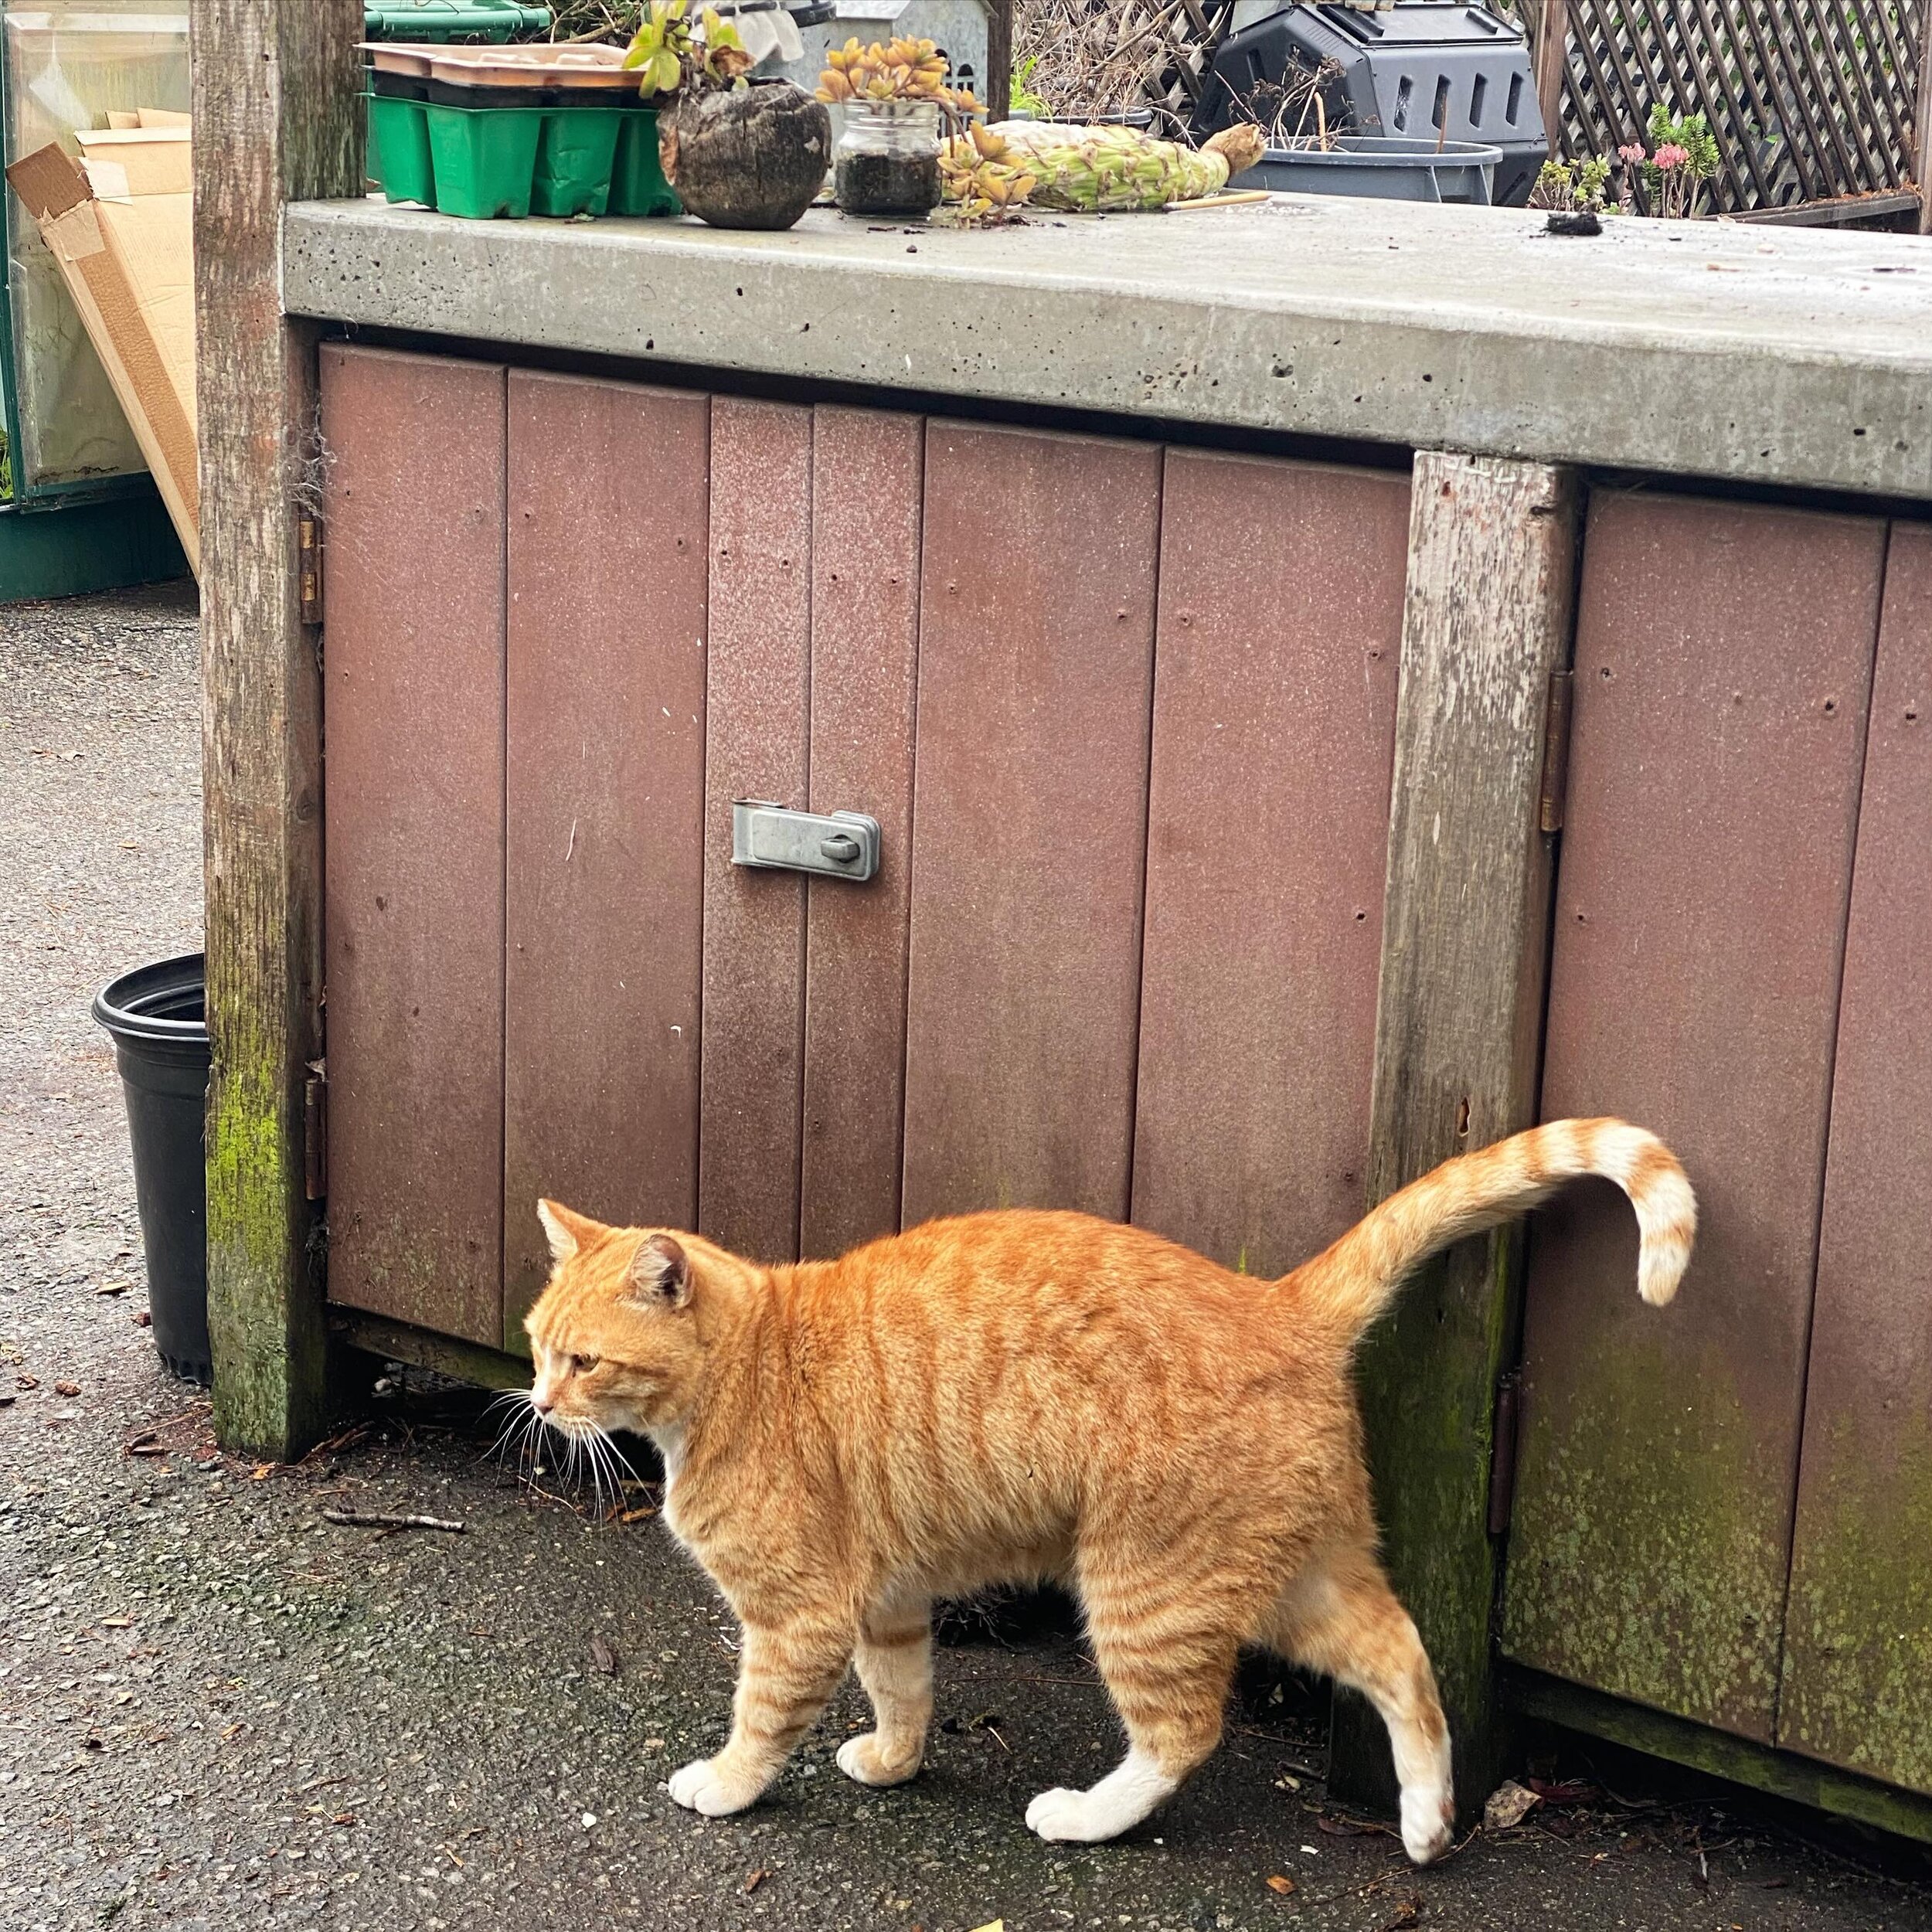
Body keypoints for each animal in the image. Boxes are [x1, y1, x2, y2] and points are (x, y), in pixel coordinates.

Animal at [526, 1121, 1692, 1855]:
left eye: (582, 1361)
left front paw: (723, 1787)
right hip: (1299, 1576)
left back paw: (1087, 1817)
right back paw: (1425, 1824)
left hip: (1146, 1587)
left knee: (1183, 1732)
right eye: (538, 1345)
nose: (535, 1402)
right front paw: (897, 1762)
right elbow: (903, 1688)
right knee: (1402, 1656)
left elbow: (762, 1719)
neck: (744, 1367)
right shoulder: (886, 1600)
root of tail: (1279, 1303)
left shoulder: (797, 1614)